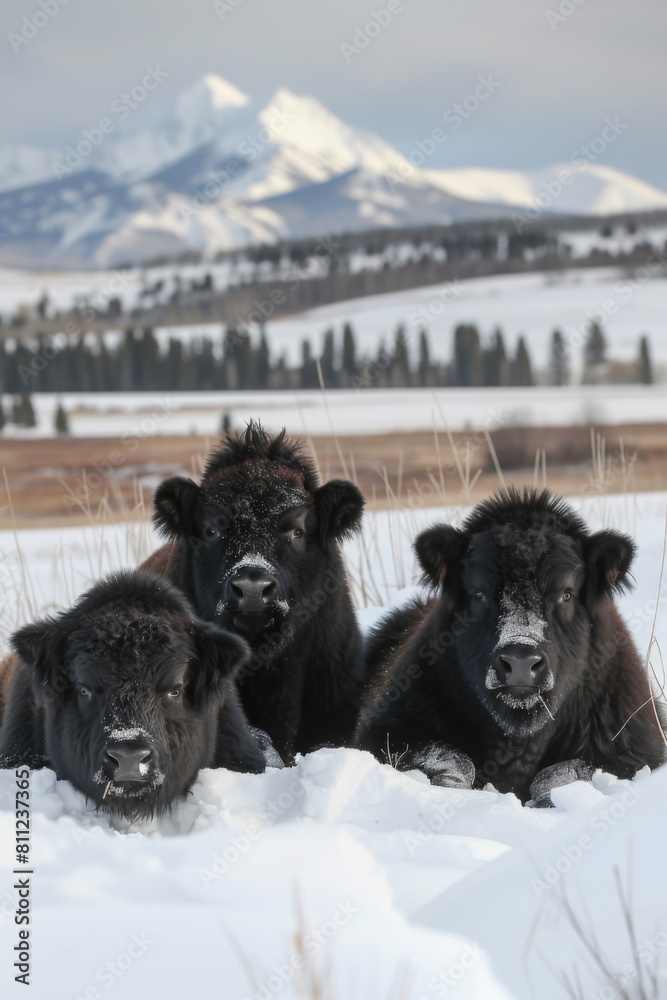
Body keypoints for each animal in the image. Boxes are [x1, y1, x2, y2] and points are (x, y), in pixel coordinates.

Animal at [358, 488, 664, 808]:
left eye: (566, 593)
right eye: (478, 593)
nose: (521, 661)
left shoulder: (632, 751)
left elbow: (561, 773)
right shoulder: (386, 730)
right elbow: (454, 760)